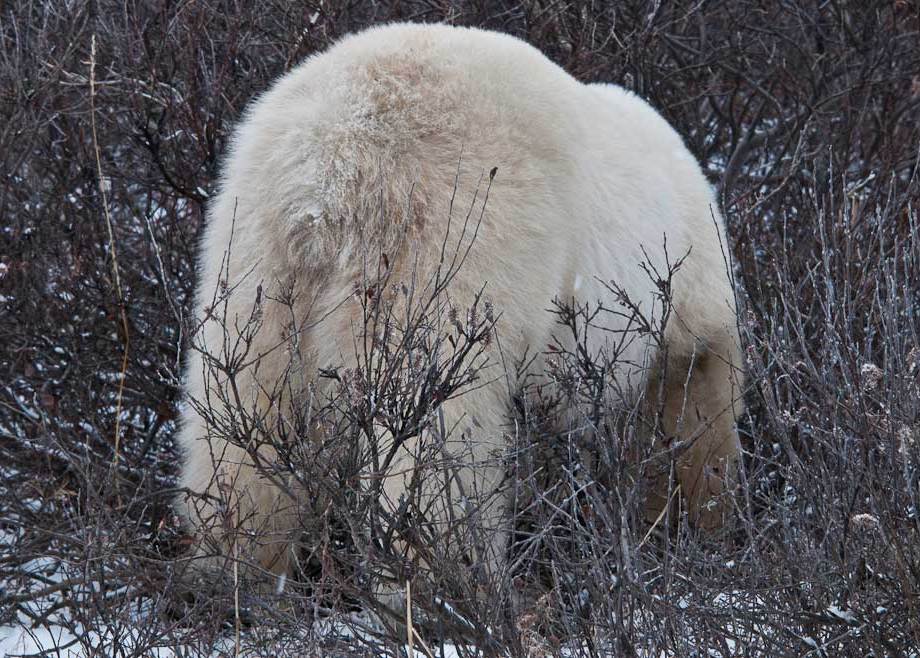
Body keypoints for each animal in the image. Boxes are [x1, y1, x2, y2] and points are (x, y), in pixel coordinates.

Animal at [175, 22, 743, 593]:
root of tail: (334, 169)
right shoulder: (688, 303)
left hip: (254, 255)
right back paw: (444, 581)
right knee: (438, 428)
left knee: (244, 419)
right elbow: (696, 414)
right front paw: (699, 525)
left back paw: (232, 572)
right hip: (457, 235)